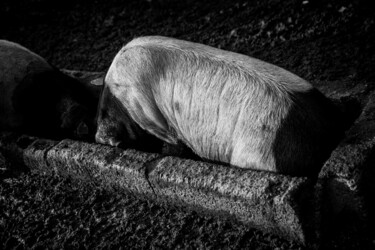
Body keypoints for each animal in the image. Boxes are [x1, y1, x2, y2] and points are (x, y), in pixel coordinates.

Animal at [95, 36, 346, 177]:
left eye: (103, 113)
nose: (98, 137)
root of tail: (327, 135)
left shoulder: (149, 111)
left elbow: (172, 142)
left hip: (254, 154)